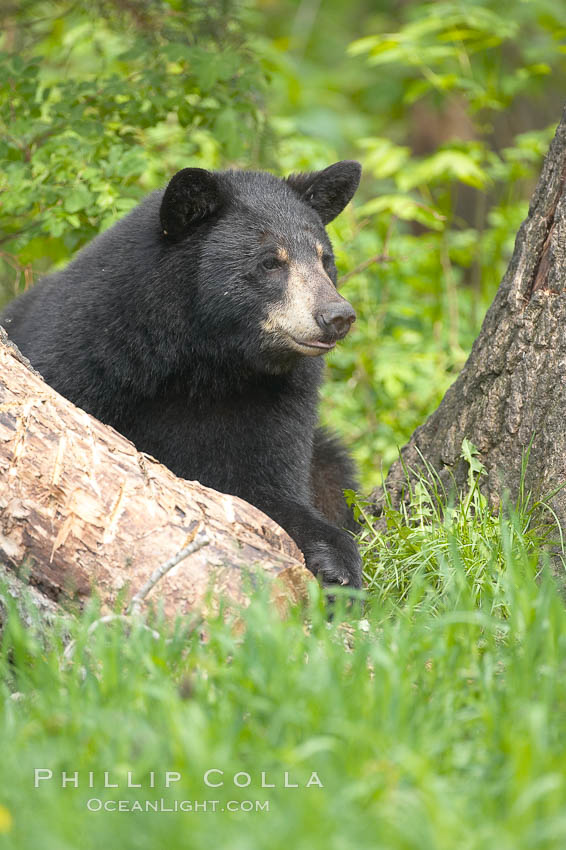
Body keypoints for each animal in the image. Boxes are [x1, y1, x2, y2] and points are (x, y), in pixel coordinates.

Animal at [1, 162, 364, 588]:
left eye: (325, 259)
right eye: (270, 261)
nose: (337, 316)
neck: (206, 363)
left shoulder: (275, 399)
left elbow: (268, 486)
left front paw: (337, 562)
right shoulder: (84, 356)